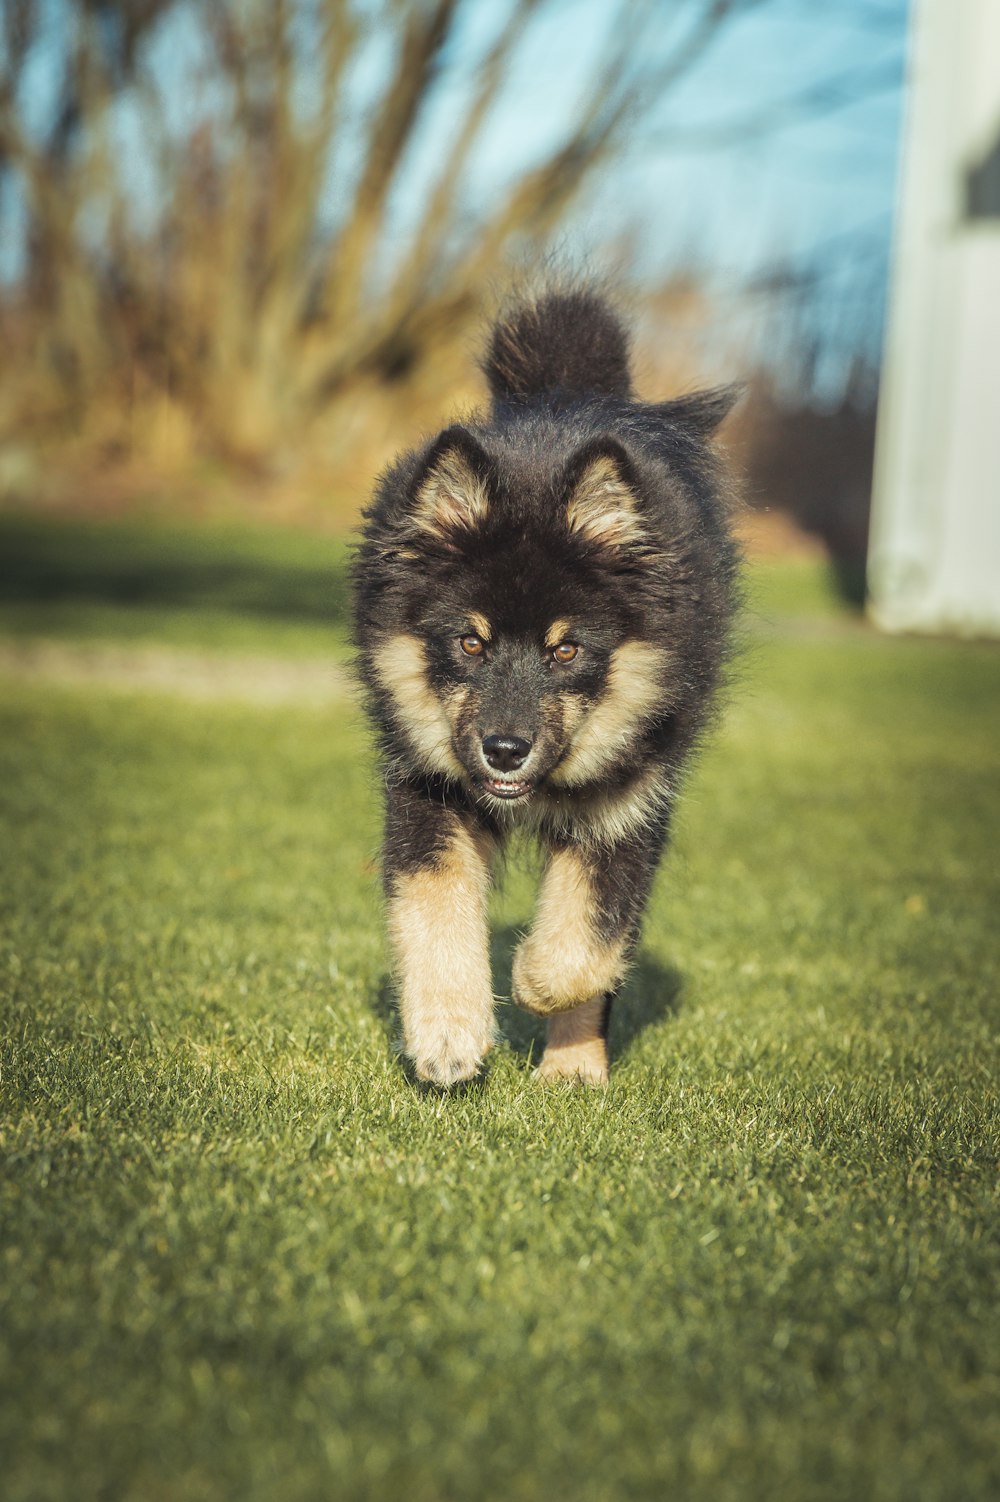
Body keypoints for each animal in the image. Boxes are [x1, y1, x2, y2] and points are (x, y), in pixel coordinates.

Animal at [352, 283, 738, 1081]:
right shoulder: (426, 788)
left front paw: (532, 982)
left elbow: (590, 936)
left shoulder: (631, 804)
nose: (504, 750)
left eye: (566, 651)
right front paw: (448, 1032)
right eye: (469, 642)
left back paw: (573, 1070)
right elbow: (433, 902)